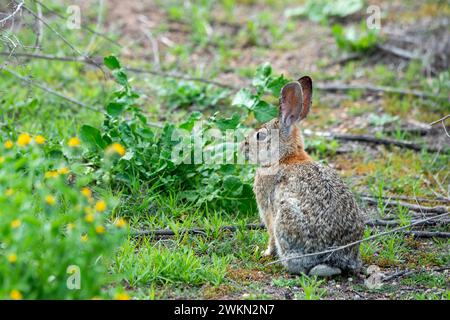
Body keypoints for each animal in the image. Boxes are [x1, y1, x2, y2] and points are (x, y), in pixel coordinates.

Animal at [241, 76, 364, 276]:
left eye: (260, 136)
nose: (242, 147)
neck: (284, 157)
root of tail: (336, 259)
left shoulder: (268, 213)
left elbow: (270, 237)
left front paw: (265, 253)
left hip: (285, 217)